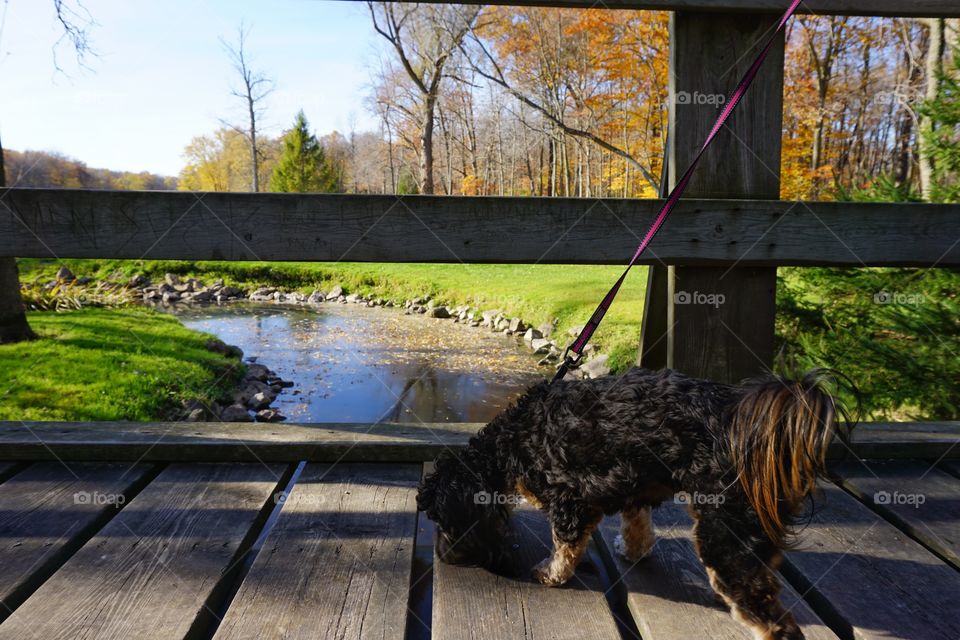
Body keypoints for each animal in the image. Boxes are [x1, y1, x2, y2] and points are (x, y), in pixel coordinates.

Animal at [416, 364, 852, 640]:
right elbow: (637, 526)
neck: (511, 443)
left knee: (779, 625)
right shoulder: (635, 489)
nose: (444, 558)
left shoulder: (571, 502)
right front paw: (633, 550)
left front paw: (553, 574)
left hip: (726, 533)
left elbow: (564, 545)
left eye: (443, 521)